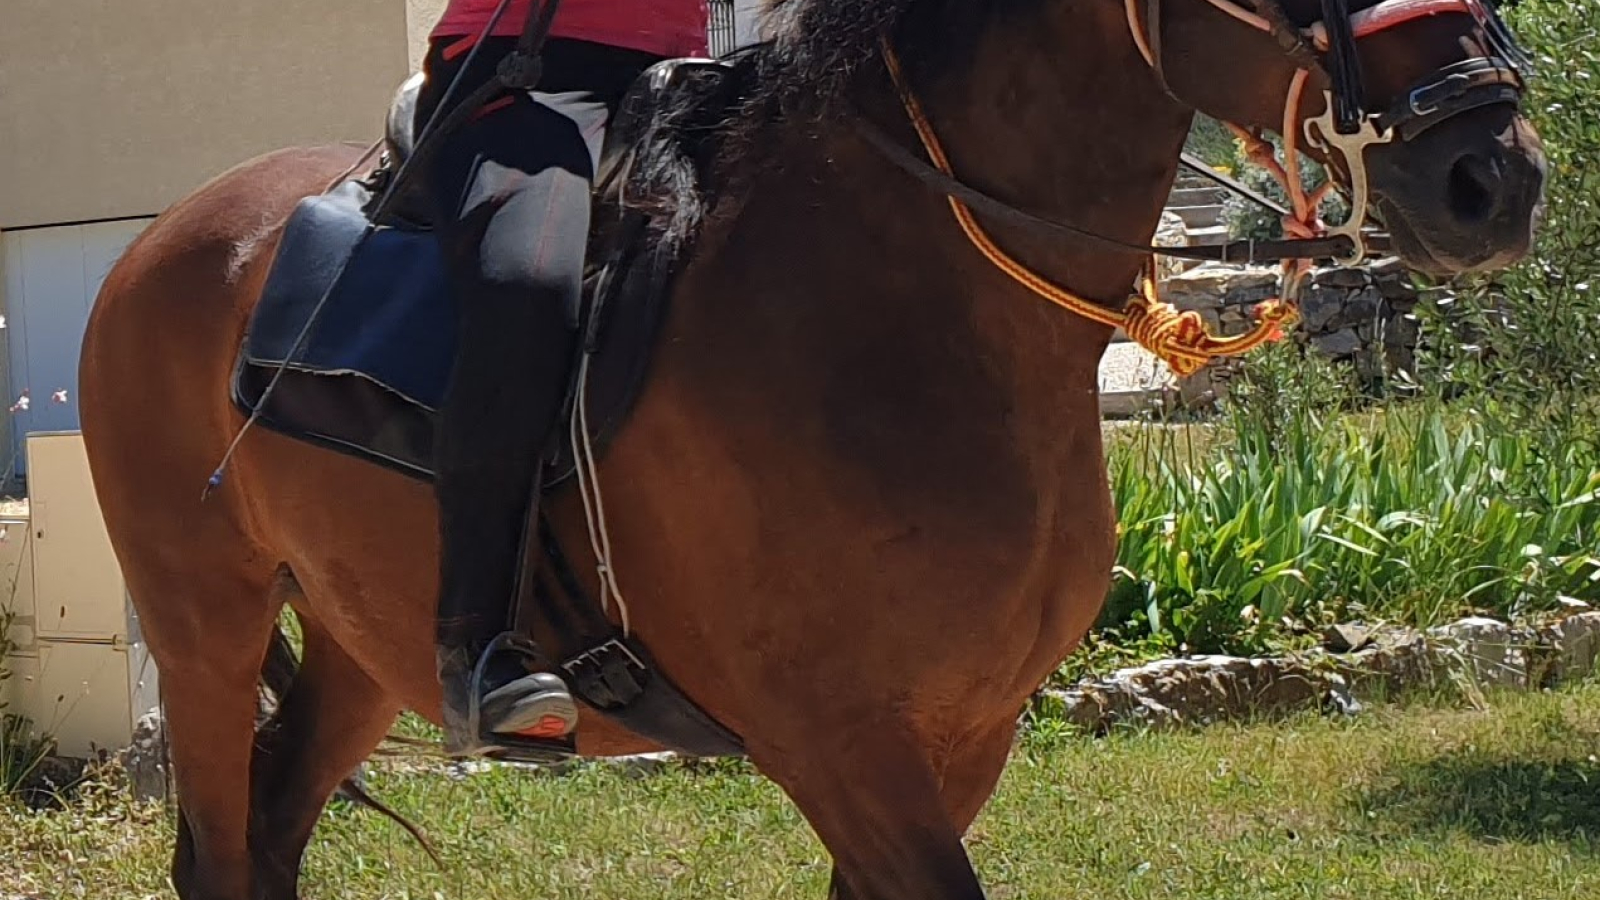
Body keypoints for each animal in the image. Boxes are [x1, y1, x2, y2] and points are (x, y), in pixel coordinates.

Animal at [78, 0, 1548, 890]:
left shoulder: (961, 738)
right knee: (220, 847)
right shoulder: (840, 741)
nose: (1495, 173)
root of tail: (165, 239)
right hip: (204, 627)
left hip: (360, 642)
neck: (900, 298)